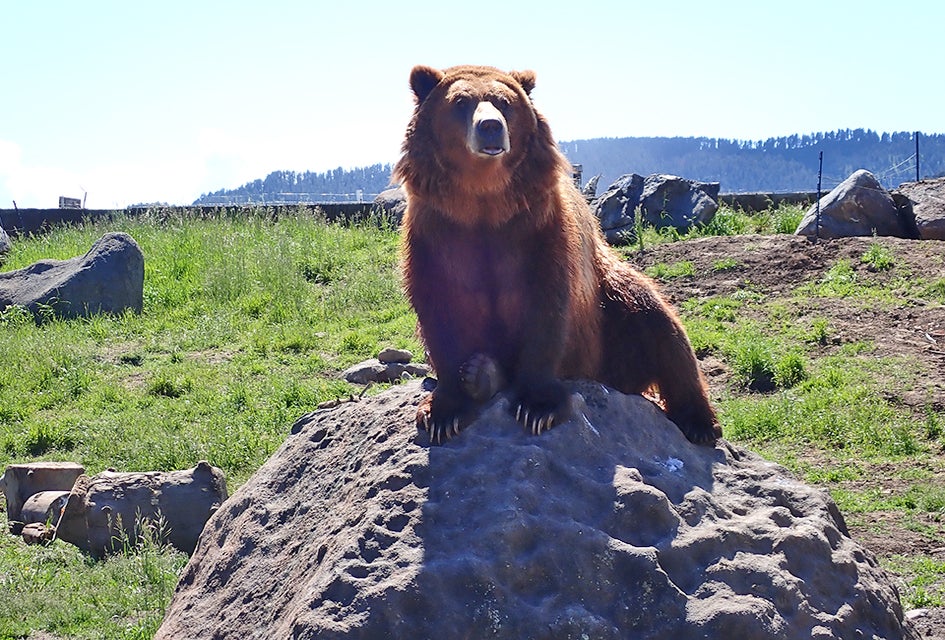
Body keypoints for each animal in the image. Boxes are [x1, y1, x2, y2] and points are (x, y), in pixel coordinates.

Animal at [394, 64, 721, 445]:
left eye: (503, 102)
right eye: (461, 101)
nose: (490, 126)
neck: (483, 201)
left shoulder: (539, 229)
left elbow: (547, 305)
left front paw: (538, 406)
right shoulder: (437, 232)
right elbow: (439, 309)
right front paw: (443, 412)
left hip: (612, 311)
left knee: (662, 329)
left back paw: (699, 422)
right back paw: (481, 373)